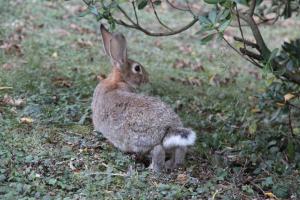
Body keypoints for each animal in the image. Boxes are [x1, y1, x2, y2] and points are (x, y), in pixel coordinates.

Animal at [92, 24, 197, 172]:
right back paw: (173, 164)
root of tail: (169, 126)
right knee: (179, 149)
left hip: (141, 139)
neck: (117, 81)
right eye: (137, 68)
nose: (147, 78)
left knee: (158, 151)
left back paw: (153, 169)